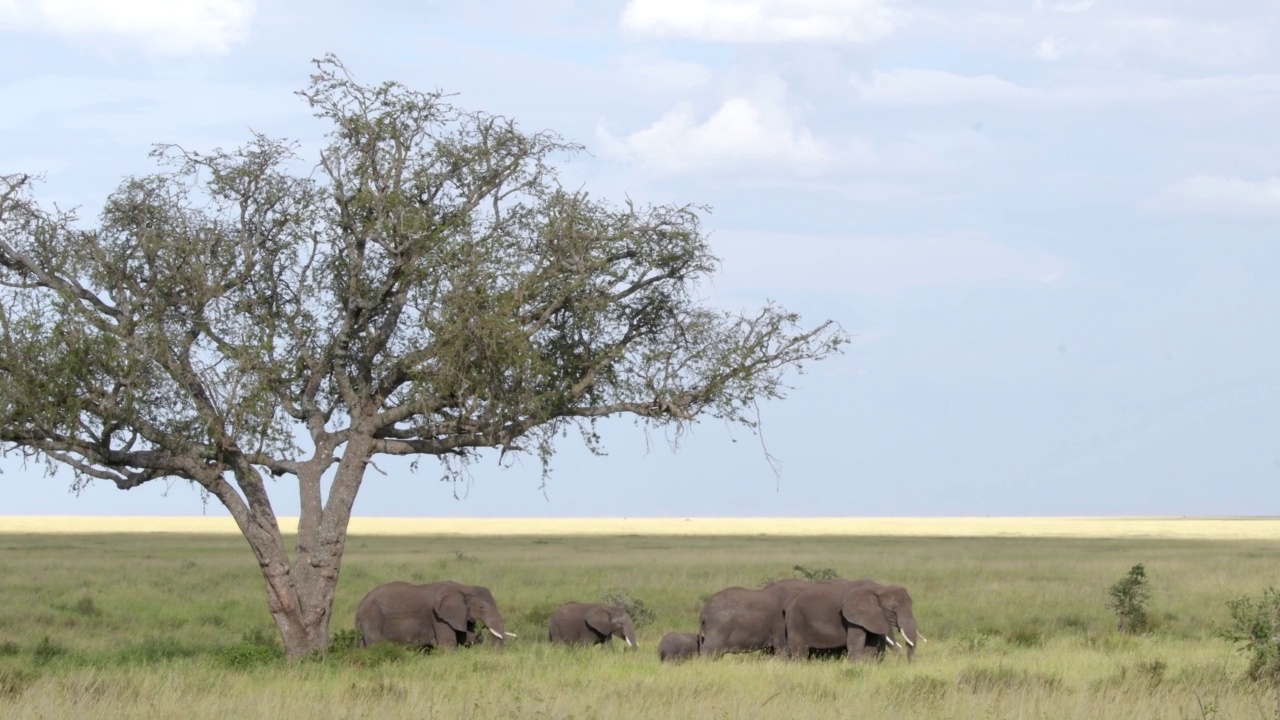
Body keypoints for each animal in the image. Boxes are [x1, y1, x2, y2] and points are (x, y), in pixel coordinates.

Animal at [353, 576, 512, 650]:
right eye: (481, 607)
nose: (482, 629)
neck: (464, 588)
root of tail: (360, 605)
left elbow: (464, 639)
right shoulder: (438, 617)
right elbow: (448, 646)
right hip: (372, 618)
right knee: (374, 645)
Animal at [778, 579, 921, 661]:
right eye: (894, 607)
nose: (908, 665)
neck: (880, 588)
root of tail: (790, 603)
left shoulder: (871, 617)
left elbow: (871, 644)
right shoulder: (853, 617)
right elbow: (855, 643)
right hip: (796, 619)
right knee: (799, 651)